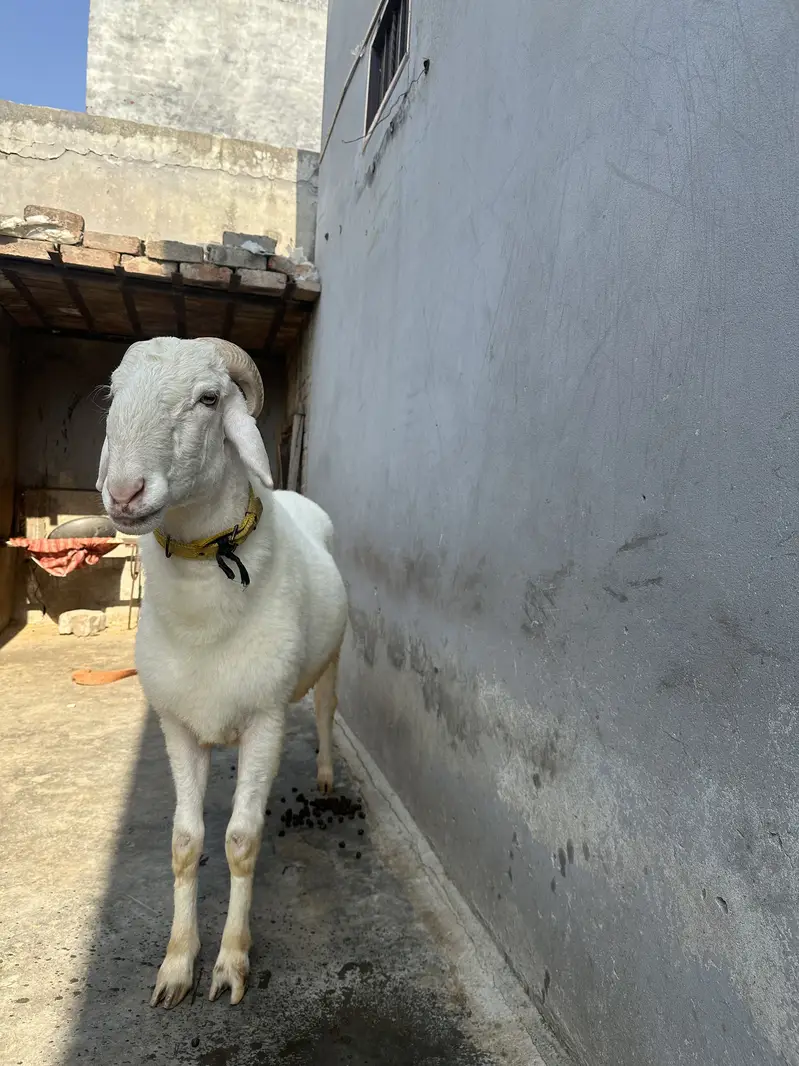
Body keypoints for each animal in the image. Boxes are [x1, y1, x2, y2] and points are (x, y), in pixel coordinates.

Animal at [96, 337, 348, 1009]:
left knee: (325, 712)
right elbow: (186, 844)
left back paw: (325, 775)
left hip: (334, 659)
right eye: (113, 393)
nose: (123, 493)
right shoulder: (177, 723)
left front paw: (232, 961)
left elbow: (240, 841)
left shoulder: (266, 719)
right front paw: (178, 963)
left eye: (209, 399)